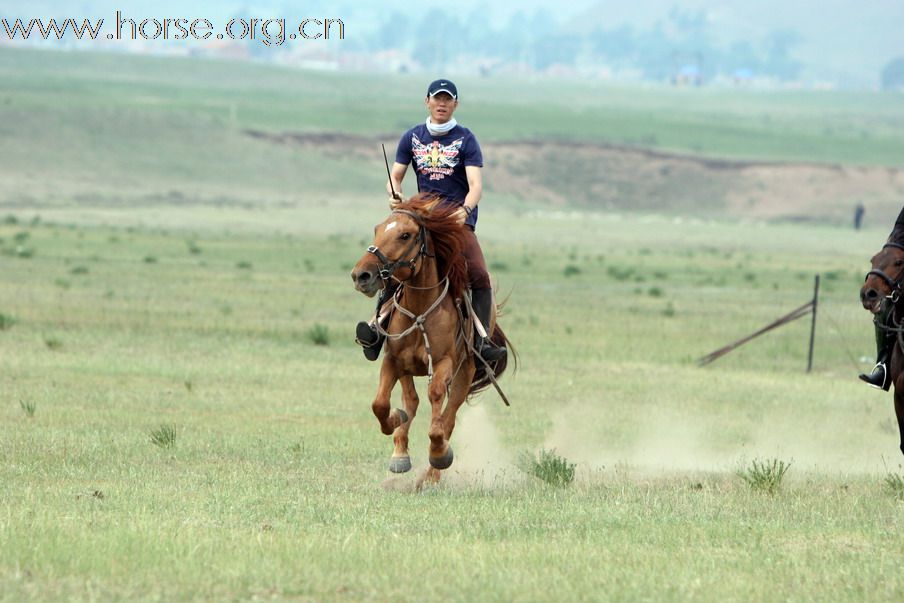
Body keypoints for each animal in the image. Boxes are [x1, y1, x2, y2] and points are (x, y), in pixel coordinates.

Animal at [350, 193, 512, 482]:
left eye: (405, 235)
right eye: (377, 229)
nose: (361, 275)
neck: (419, 310)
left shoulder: (443, 364)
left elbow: (438, 412)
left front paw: (439, 453)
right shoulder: (393, 360)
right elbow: (380, 404)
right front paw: (396, 422)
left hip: (465, 373)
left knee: (448, 416)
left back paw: (431, 475)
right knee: (412, 401)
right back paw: (401, 451)